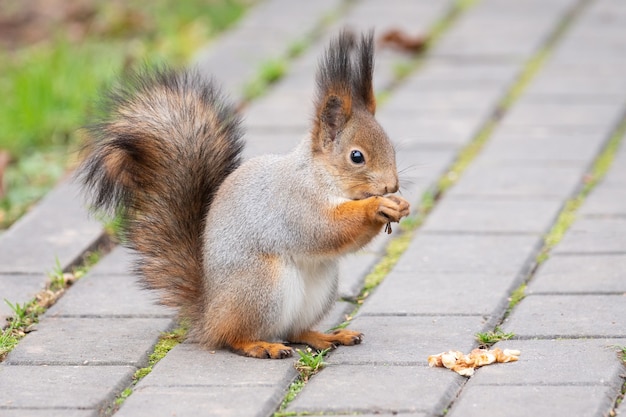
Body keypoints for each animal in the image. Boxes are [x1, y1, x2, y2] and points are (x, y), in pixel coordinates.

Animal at [78, 30, 410, 360]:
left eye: (392, 147)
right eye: (356, 157)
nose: (391, 186)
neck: (322, 177)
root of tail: (209, 313)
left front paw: (400, 206)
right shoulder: (294, 203)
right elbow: (324, 230)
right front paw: (375, 206)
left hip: (318, 290)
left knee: (294, 331)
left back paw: (326, 336)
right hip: (261, 285)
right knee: (233, 336)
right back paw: (261, 345)